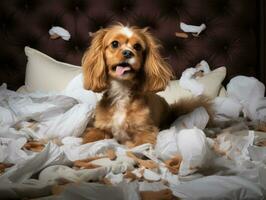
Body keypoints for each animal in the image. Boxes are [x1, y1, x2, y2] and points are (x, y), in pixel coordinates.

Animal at [81, 24, 210, 148]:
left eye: (137, 47)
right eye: (114, 44)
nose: (128, 52)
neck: (122, 90)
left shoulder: (146, 131)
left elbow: (141, 145)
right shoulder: (100, 128)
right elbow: (90, 140)